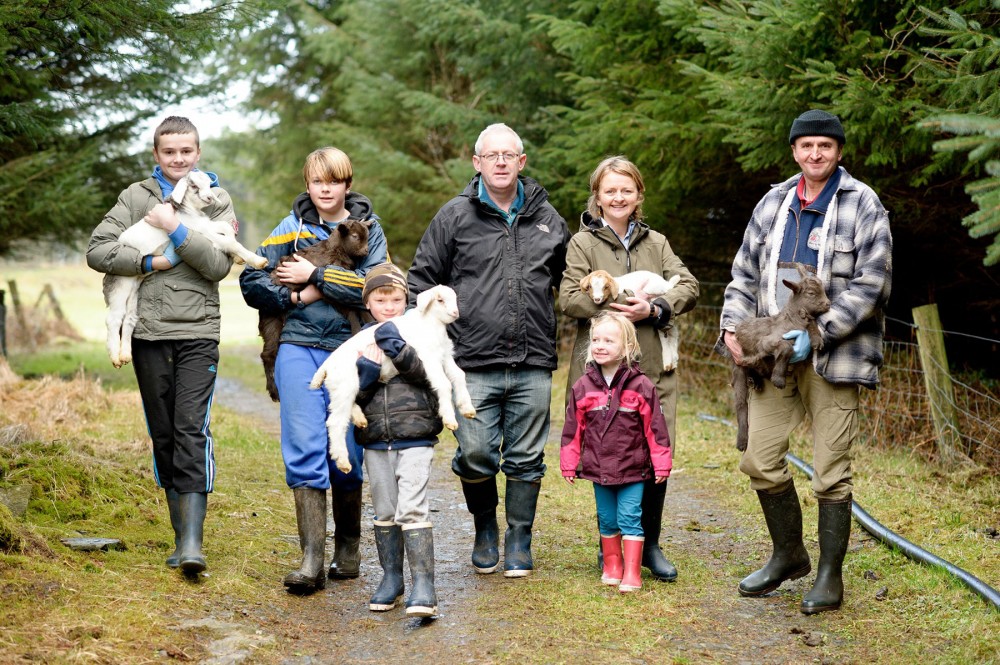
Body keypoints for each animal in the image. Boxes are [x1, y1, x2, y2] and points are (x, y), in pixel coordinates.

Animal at [102, 171, 266, 366]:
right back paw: (115, 357)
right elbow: (229, 242)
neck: (188, 211)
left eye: (208, 184)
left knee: (129, 318)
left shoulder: (205, 225)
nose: (209, 197)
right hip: (120, 283)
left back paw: (125, 354)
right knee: (113, 319)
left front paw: (238, 258)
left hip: (135, 289)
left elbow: (225, 227)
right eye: (193, 185)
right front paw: (257, 260)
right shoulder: (201, 231)